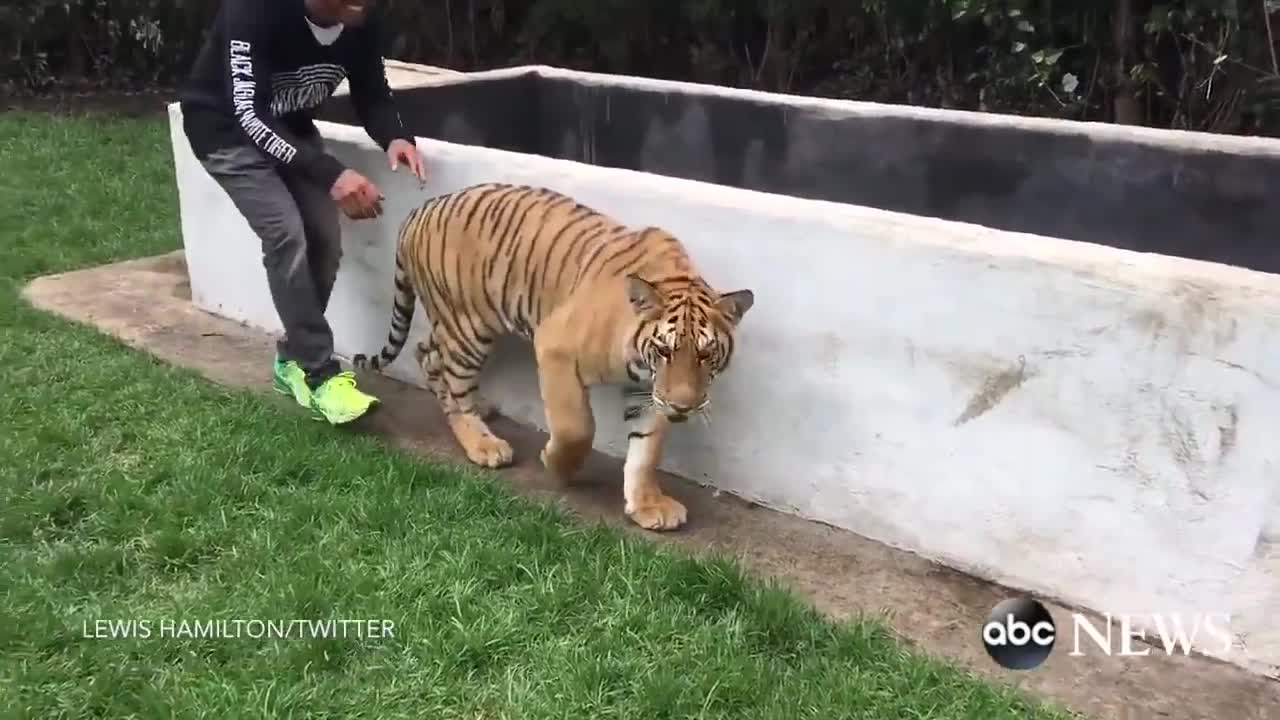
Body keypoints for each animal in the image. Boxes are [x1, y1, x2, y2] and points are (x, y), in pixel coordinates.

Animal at [350, 180, 747, 527]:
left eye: (705, 355)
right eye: (665, 350)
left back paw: (477, 410)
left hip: (455, 324)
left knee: (427, 354)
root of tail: (421, 208)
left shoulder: (646, 388)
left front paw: (648, 504)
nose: (682, 407)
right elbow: (576, 427)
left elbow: (645, 450)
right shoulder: (555, 345)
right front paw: (557, 465)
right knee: (452, 380)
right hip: (468, 327)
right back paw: (482, 442)